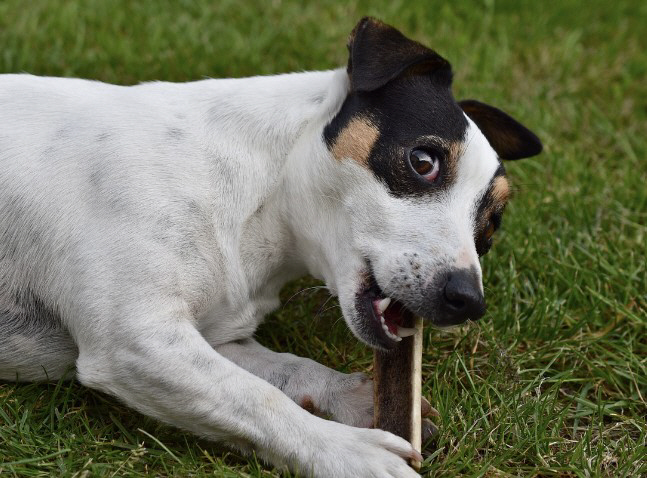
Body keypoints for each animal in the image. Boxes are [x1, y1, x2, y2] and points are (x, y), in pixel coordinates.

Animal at [1, 17, 540, 478]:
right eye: (423, 161)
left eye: (491, 227)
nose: (468, 300)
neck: (256, 202)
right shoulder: (134, 341)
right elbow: (256, 401)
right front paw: (351, 452)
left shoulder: (214, 340)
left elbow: (286, 373)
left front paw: (356, 399)